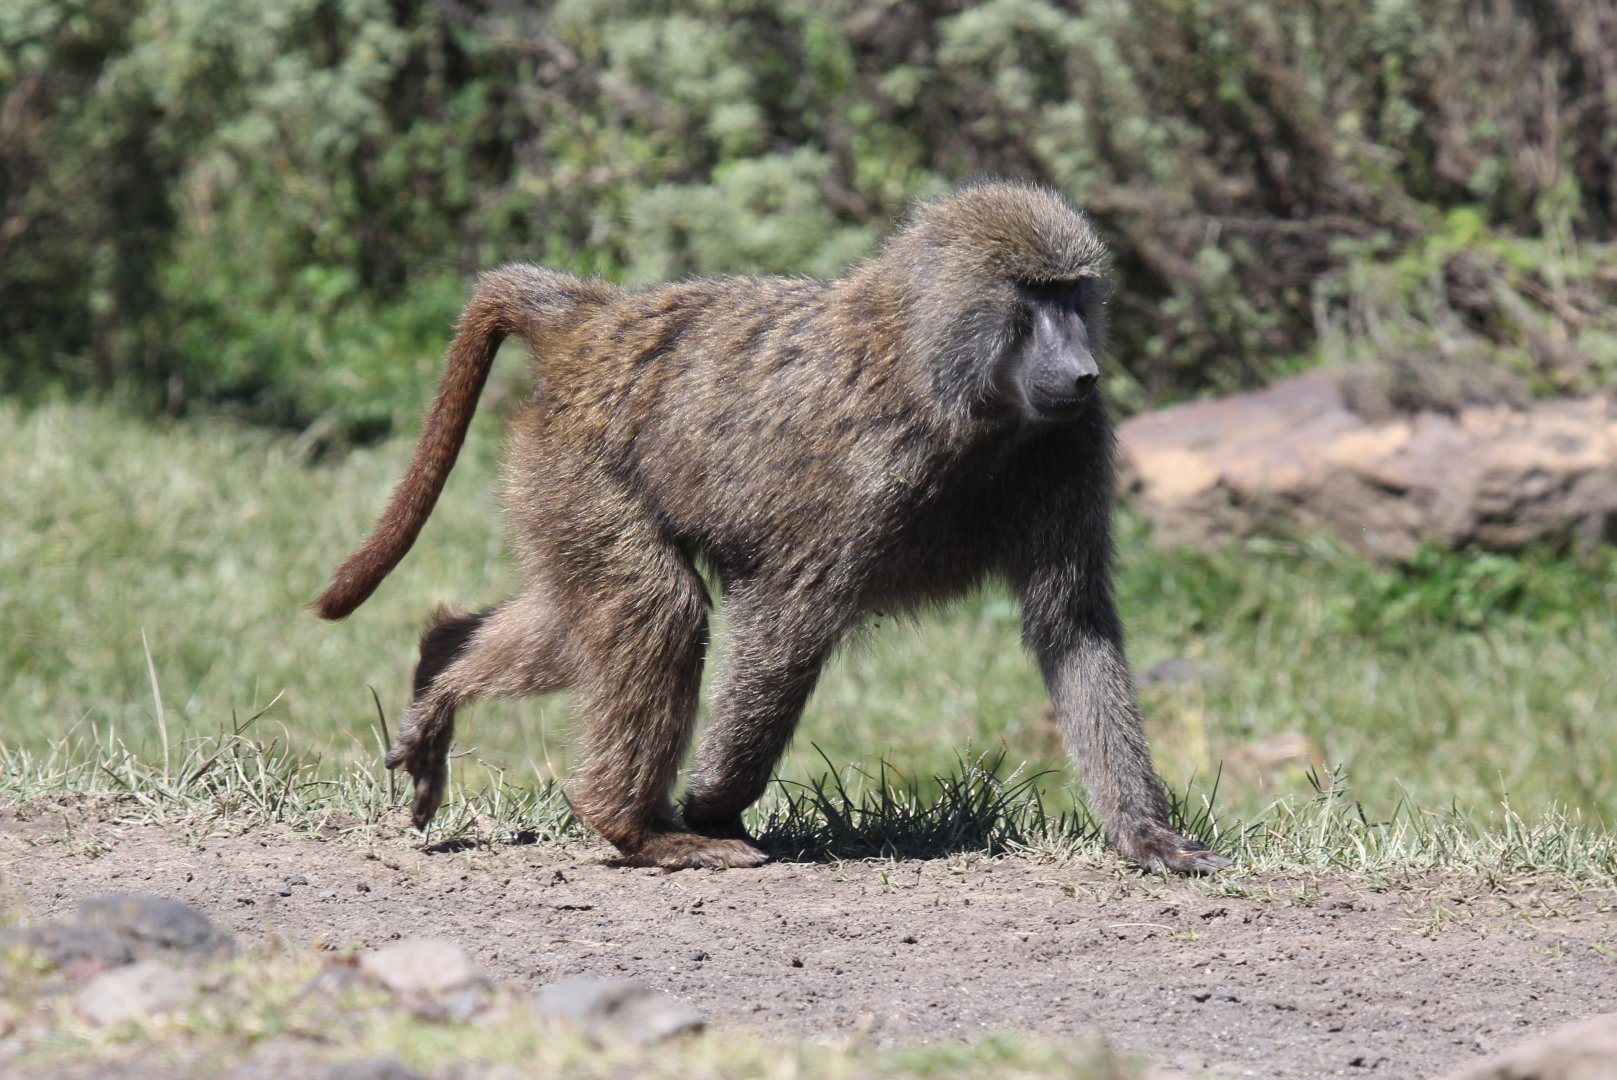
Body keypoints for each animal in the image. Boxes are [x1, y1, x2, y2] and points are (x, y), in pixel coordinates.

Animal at [314, 180, 1229, 875]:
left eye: (1074, 295)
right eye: (1032, 298)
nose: (1082, 371)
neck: (952, 390)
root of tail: (596, 321)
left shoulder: (1074, 442)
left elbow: (1071, 627)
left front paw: (1145, 834)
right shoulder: (861, 475)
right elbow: (788, 622)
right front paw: (714, 804)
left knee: (585, 615)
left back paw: (441, 674)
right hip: (578, 465)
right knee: (658, 609)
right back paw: (635, 827)